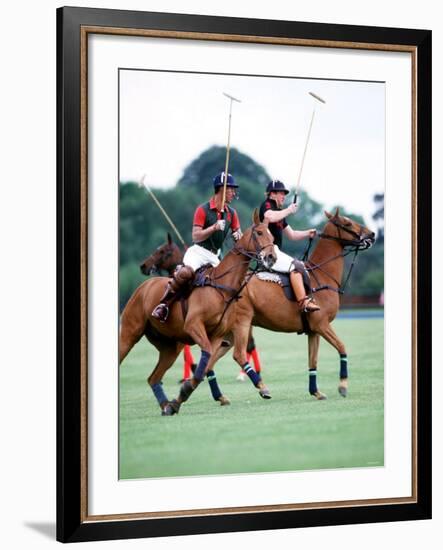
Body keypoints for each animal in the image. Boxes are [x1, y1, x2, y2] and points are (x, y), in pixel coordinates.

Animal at [119, 213, 276, 416]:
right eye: (259, 233)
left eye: (272, 235)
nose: (272, 257)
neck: (222, 287)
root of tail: (143, 286)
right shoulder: (193, 326)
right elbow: (203, 365)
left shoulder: (217, 335)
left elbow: (203, 368)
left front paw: (179, 399)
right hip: (129, 333)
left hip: (170, 348)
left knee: (153, 378)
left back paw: (166, 406)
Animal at [224, 209, 376, 398]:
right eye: (347, 223)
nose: (372, 234)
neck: (322, 275)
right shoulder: (322, 324)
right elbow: (342, 347)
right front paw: (342, 386)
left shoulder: (314, 331)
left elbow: (313, 361)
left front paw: (316, 392)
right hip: (242, 322)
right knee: (239, 353)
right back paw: (261, 387)